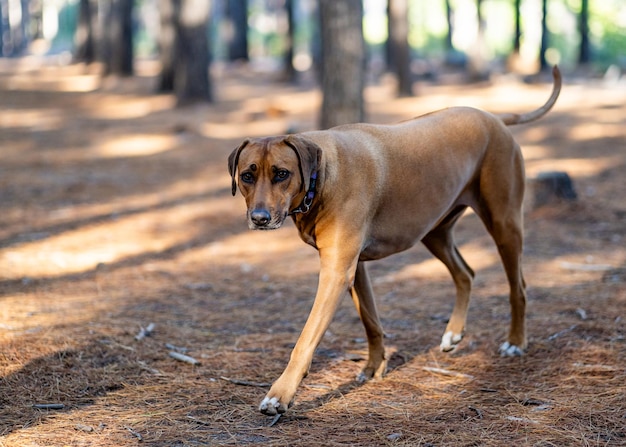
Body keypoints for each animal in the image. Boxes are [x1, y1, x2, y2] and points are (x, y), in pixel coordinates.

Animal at [227, 66, 560, 416]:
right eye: (247, 175)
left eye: (282, 173)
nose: (260, 218)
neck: (322, 174)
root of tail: (493, 117)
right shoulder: (354, 266)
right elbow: (370, 321)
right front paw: (375, 367)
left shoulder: (336, 272)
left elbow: (305, 340)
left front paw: (281, 393)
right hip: (434, 231)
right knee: (465, 273)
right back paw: (454, 333)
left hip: (504, 223)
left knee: (517, 287)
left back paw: (516, 342)